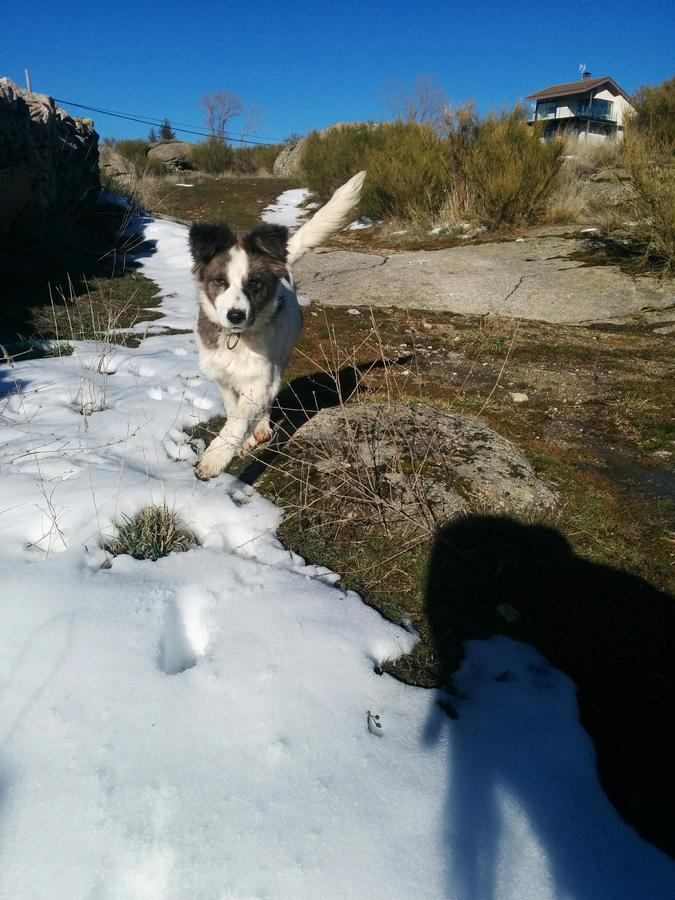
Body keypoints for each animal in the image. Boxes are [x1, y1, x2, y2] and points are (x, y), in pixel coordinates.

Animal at [187, 169, 368, 478]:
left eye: (254, 284)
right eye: (220, 281)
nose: (236, 315)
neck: (237, 339)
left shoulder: (262, 377)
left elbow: (240, 417)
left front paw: (216, 457)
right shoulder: (222, 376)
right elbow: (233, 409)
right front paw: (239, 442)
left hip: (281, 359)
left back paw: (260, 428)